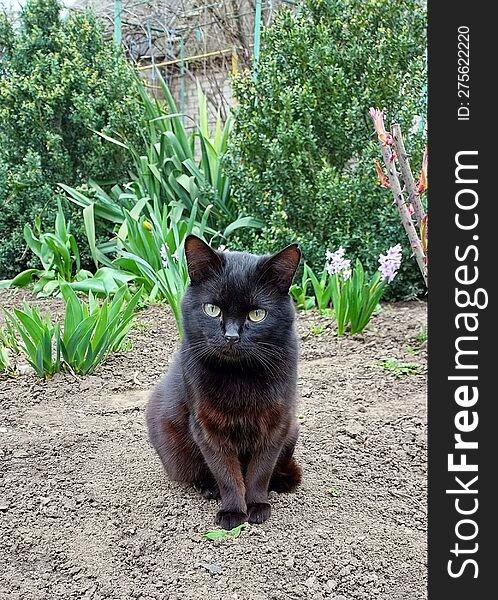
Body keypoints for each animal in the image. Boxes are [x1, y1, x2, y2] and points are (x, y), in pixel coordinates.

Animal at [146, 237, 302, 528]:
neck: (239, 376)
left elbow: (260, 471)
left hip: (293, 429)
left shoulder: (276, 423)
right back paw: (209, 488)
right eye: (212, 309)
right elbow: (226, 473)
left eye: (257, 314)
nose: (231, 336)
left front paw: (257, 505)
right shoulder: (206, 427)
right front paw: (232, 512)